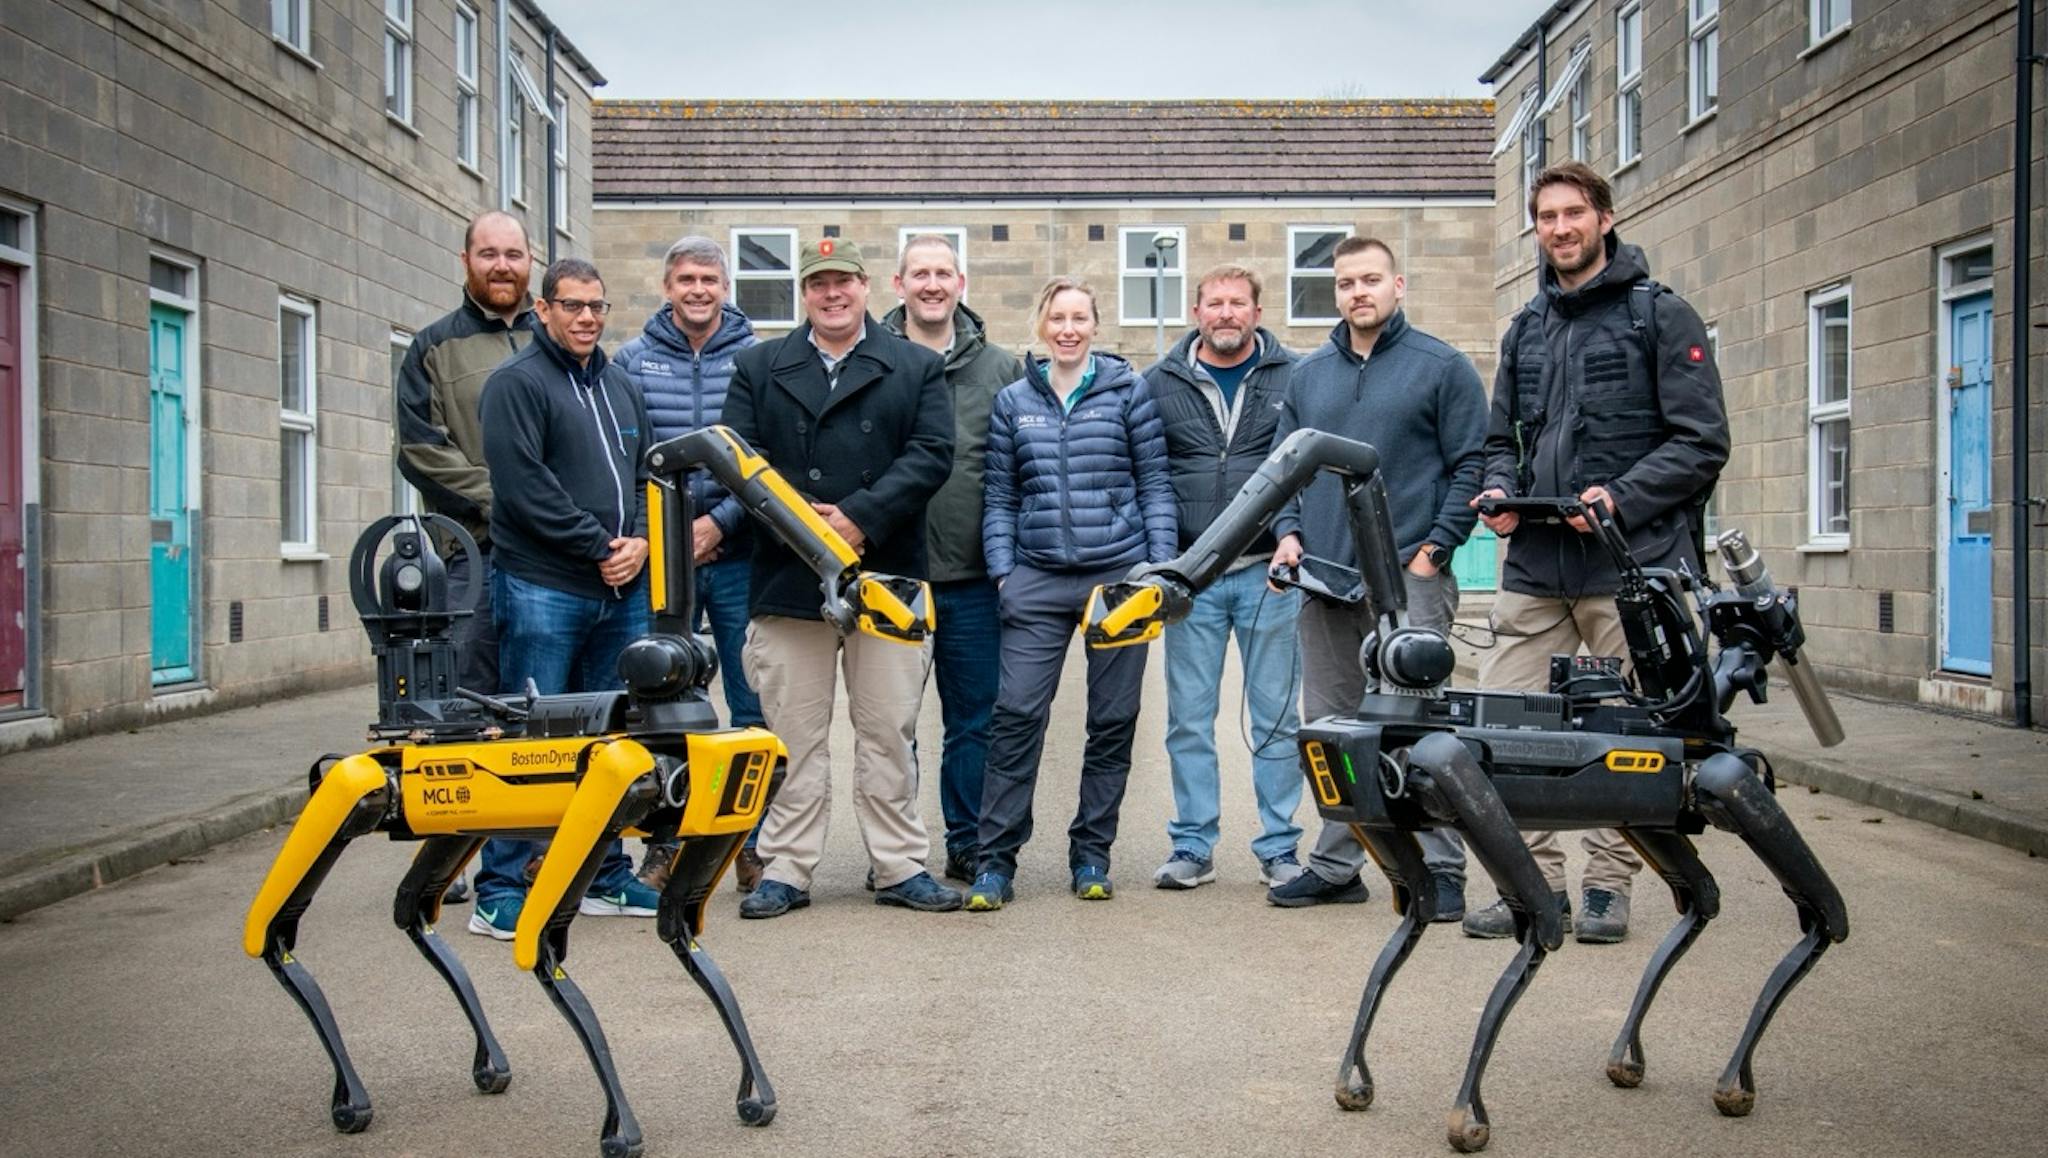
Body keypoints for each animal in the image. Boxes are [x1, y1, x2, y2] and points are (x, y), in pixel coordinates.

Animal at [241, 426, 937, 1155]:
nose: (865, 590)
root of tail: (407, 720)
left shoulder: (702, 807)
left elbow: (681, 930)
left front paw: (754, 1091)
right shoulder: (614, 780)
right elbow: (542, 947)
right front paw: (621, 1124)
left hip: (436, 824)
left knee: (413, 911)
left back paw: (483, 1059)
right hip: (360, 783)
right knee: (275, 929)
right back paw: (351, 1092)